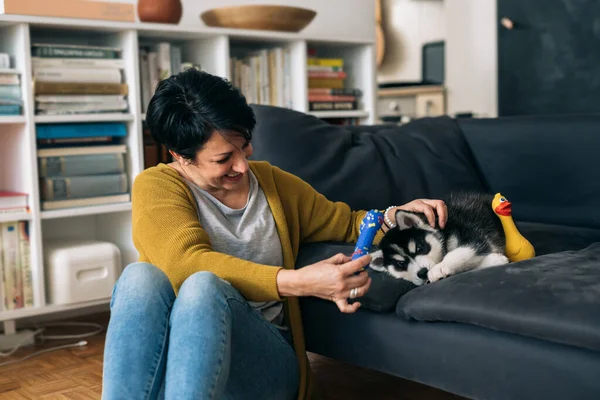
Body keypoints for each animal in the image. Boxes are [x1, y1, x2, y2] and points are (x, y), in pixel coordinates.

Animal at [370, 192, 510, 286]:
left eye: (419, 247)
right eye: (401, 264)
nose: (422, 272)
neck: (443, 233)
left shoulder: (472, 235)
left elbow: (457, 254)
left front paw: (439, 268)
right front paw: (494, 260)